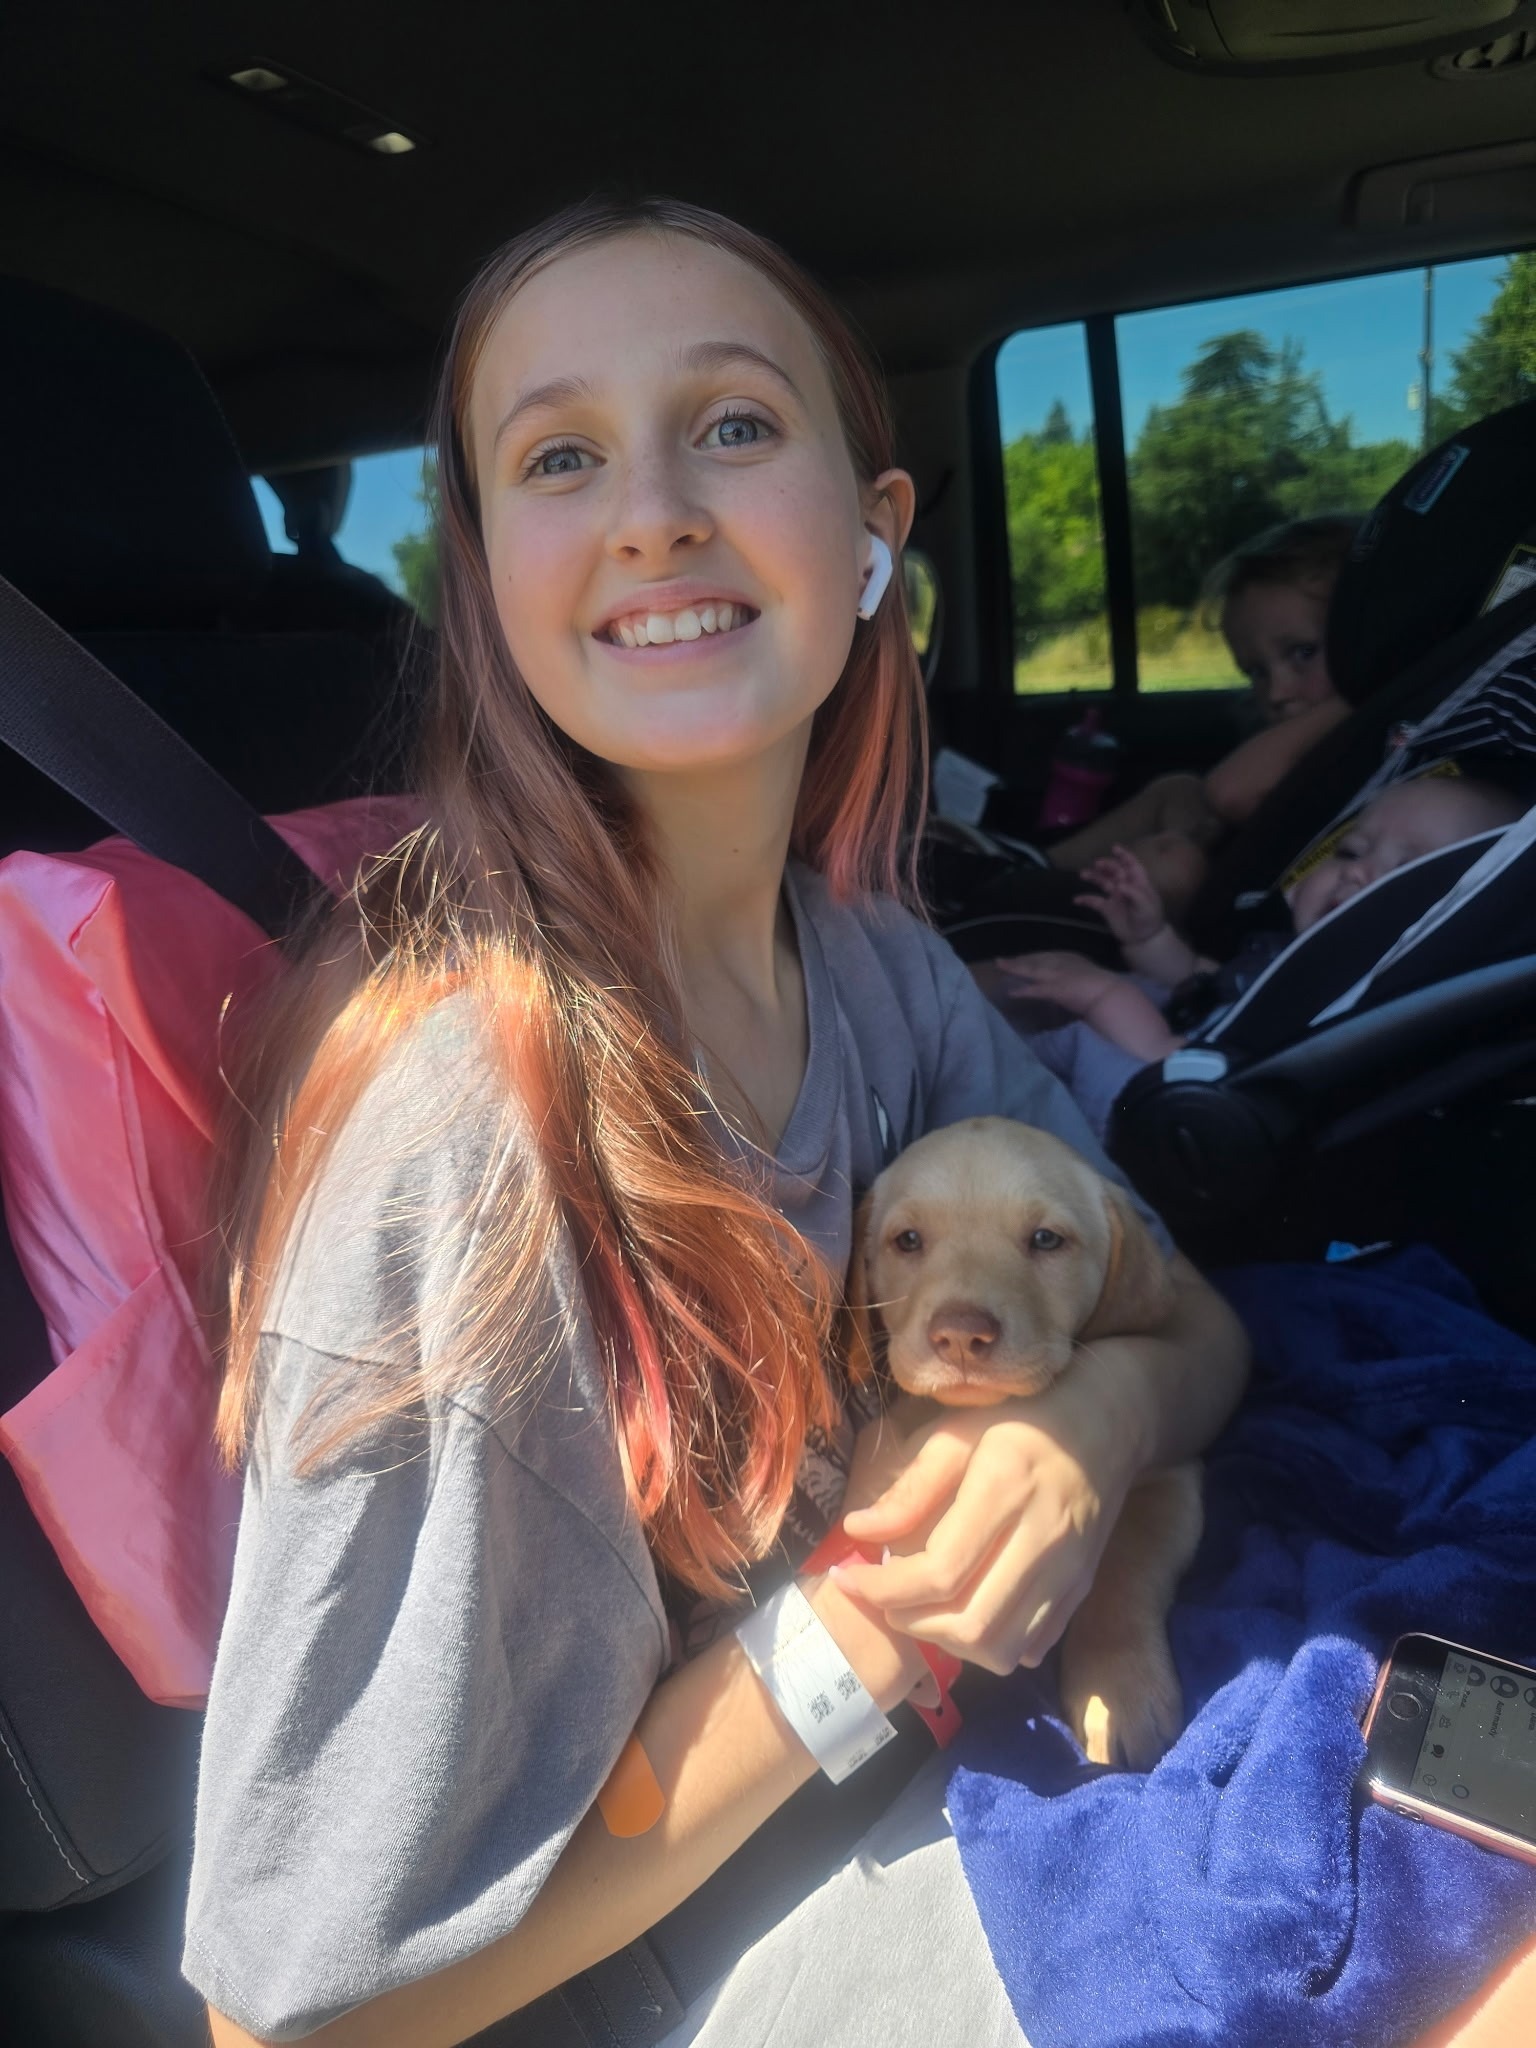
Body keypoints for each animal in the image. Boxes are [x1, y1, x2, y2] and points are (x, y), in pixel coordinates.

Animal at [845, 1114, 1203, 1770]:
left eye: (1045, 1239)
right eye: (907, 1241)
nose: (961, 1334)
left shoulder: (1170, 1475)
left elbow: (1125, 1564)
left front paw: (1119, 1687)